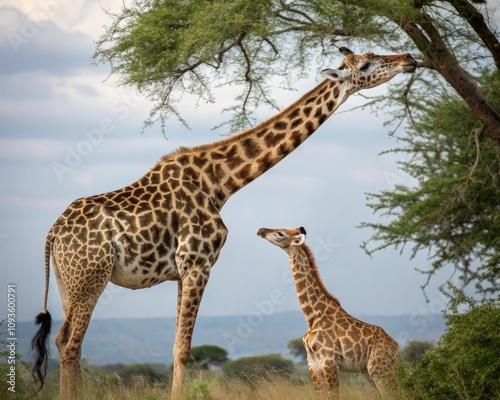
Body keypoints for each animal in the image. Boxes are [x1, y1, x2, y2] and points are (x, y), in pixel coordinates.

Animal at [258, 227, 398, 398]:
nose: (261, 230)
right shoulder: (313, 364)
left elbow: (334, 395)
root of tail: (397, 348)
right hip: (367, 371)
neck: (312, 316)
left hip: (380, 370)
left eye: (280, 233)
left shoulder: (329, 361)